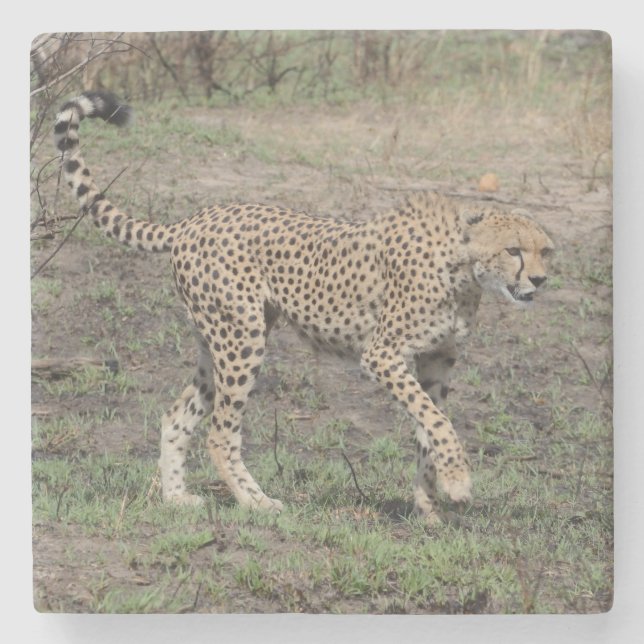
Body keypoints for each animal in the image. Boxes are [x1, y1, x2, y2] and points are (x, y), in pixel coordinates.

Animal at [53, 91, 554, 524]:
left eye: (545, 251)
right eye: (513, 250)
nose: (539, 280)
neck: (464, 269)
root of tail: (194, 219)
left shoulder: (435, 360)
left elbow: (428, 428)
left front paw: (428, 504)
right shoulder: (383, 355)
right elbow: (437, 422)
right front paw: (457, 483)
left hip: (214, 343)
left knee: (177, 417)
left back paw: (176, 497)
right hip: (243, 338)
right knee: (220, 432)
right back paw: (256, 502)